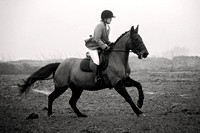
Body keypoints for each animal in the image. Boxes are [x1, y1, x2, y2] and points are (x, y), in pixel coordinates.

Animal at [18, 25, 148, 117]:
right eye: (136, 39)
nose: (145, 54)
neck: (117, 58)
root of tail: (60, 64)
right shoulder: (117, 83)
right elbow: (128, 97)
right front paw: (138, 111)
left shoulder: (125, 80)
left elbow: (139, 85)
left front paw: (140, 102)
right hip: (61, 87)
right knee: (51, 97)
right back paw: (50, 114)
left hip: (77, 88)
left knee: (72, 102)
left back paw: (80, 115)